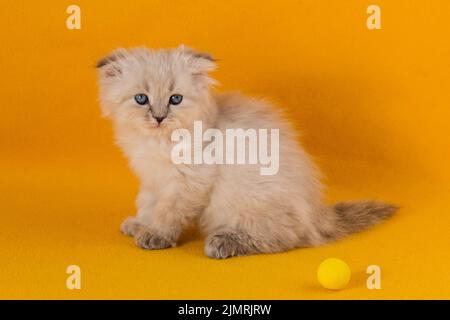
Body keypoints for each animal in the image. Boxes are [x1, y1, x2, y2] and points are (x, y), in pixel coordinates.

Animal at [96, 46, 398, 258]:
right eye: (141, 99)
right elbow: (148, 205)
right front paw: (139, 225)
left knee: (283, 239)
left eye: (175, 99)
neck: (158, 143)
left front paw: (156, 235)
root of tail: (317, 213)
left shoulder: (189, 181)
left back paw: (222, 243)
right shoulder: (152, 179)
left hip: (247, 203)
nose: (159, 118)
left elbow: (168, 213)